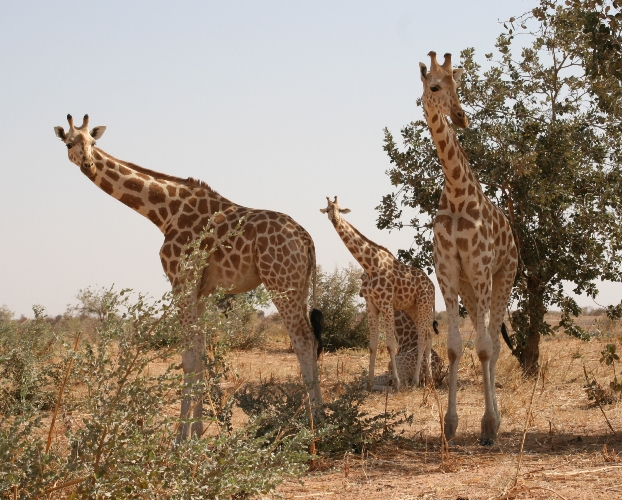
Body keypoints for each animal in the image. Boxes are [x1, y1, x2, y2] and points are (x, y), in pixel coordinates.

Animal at [55, 114, 324, 442]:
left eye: (93, 143)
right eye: (69, 143)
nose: (89, 164)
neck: (164, 212)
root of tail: (306, 238)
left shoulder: (181, 279)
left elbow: (187, 358)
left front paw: (180, 437)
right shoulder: (203, 291)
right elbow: (200, 354)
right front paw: (196, 432)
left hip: (280, 280)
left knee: (302, 340)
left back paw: (312, 424)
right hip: (299, 284)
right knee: (312, 340)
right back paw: (322, 417)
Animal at [420, 53, 520, 446]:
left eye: (457, 84)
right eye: (434, 86)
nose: (461, 116)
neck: (456, 192)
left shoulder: (480, 268)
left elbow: (484, 348)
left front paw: (489, 426)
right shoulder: (448, 271)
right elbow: (454, 346)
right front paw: (449, 425)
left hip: (502, 276)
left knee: (493, 343)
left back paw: (496, 422)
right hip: (469, 288)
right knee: (486, 338)